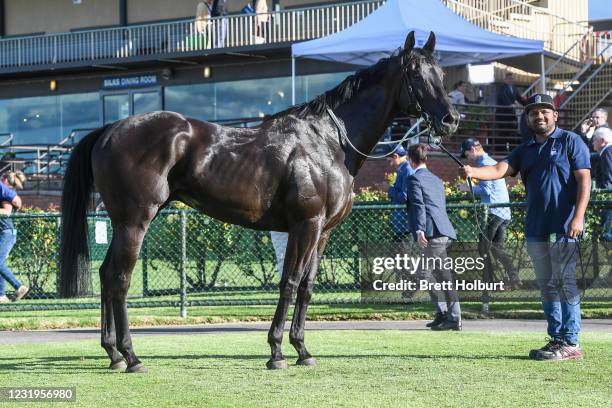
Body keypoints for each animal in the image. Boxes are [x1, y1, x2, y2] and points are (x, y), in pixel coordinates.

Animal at [59, 32, 460, 372]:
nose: (450, 119)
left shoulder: (323, 232)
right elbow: (290, 282)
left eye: (440, 72)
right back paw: (131, 356)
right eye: (415, 74)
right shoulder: (305, 225)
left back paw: (112, 354)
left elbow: (307, 287)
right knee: (119, 279)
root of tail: (109, 130)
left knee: (105, 274)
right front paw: (277, 352)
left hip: (123, 222)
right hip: (135, 221)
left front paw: (302, 350)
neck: (328, 141)